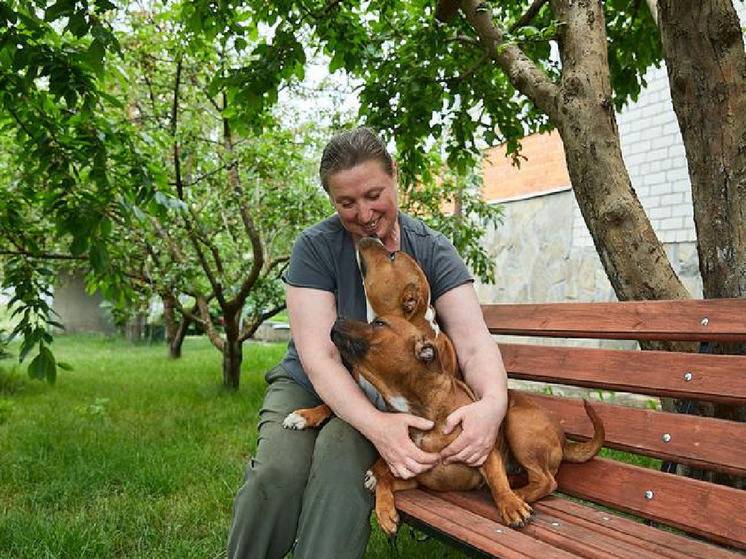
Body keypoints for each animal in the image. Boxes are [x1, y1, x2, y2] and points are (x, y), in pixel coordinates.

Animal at [332, 318, 604, 536]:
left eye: (379, 323)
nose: (337, 319)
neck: (418, 406)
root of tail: (564, 439)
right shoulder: (415, 477)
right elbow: (385, 480)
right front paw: (385, 509)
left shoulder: (483, 447)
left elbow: (496, 479)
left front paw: (509, 504)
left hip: (518, 425)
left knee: (546, 480)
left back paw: (518, 495)